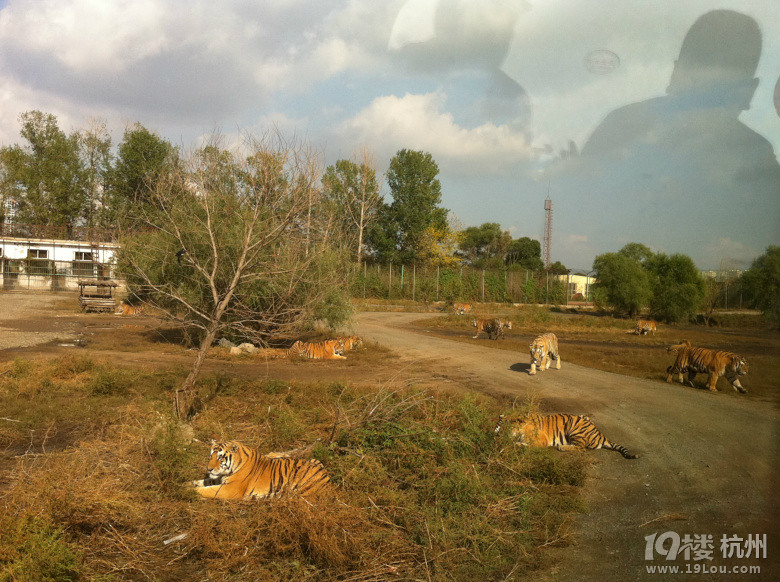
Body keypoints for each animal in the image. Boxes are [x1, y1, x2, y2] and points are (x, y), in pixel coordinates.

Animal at [192, 442, 332, 502]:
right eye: (211, 456)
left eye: (220, 458)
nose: (208, 469)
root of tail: (327, 477)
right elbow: (202, 482)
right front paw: (188, 484)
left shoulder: (229, 489)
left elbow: (206, 490)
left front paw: (190, 492)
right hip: (314, 460)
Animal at [496, 416, 636, 460]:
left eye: (500, 430)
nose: (495, 438)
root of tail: (601, 434)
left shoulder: (540, 441)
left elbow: (522, 445)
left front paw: (512, 445)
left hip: (574, 427)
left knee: (582, 448)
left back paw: (562, 447)